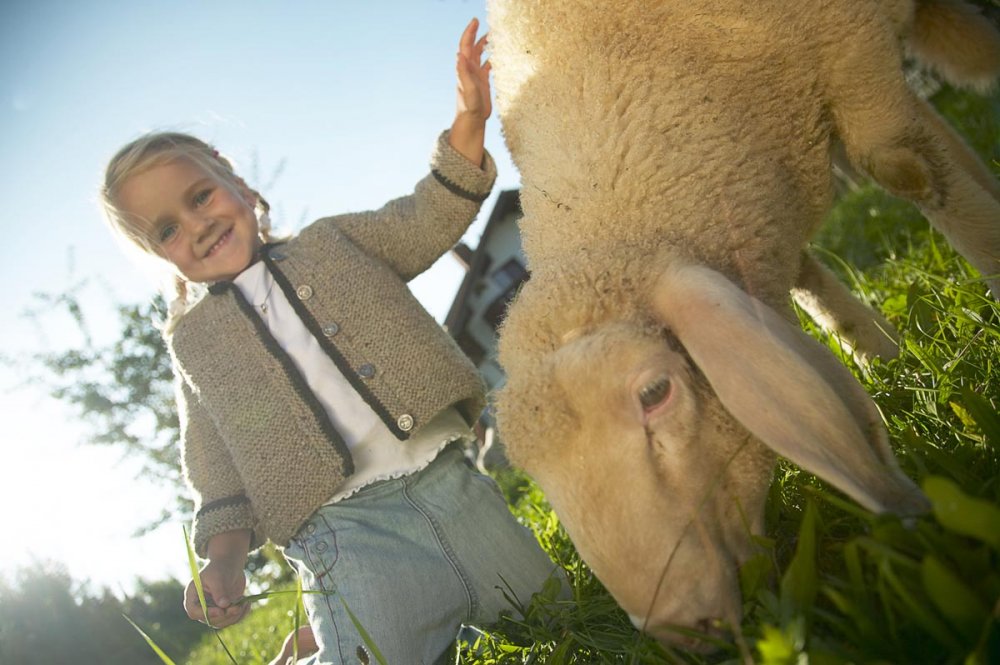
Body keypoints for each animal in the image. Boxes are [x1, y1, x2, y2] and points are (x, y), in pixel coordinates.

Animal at [486, 0, 1000, 649]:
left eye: (655, 393)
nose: (679, 627)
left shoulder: (850, 48)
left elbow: (904, 167)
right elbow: (811, 281)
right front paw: (883, 357)